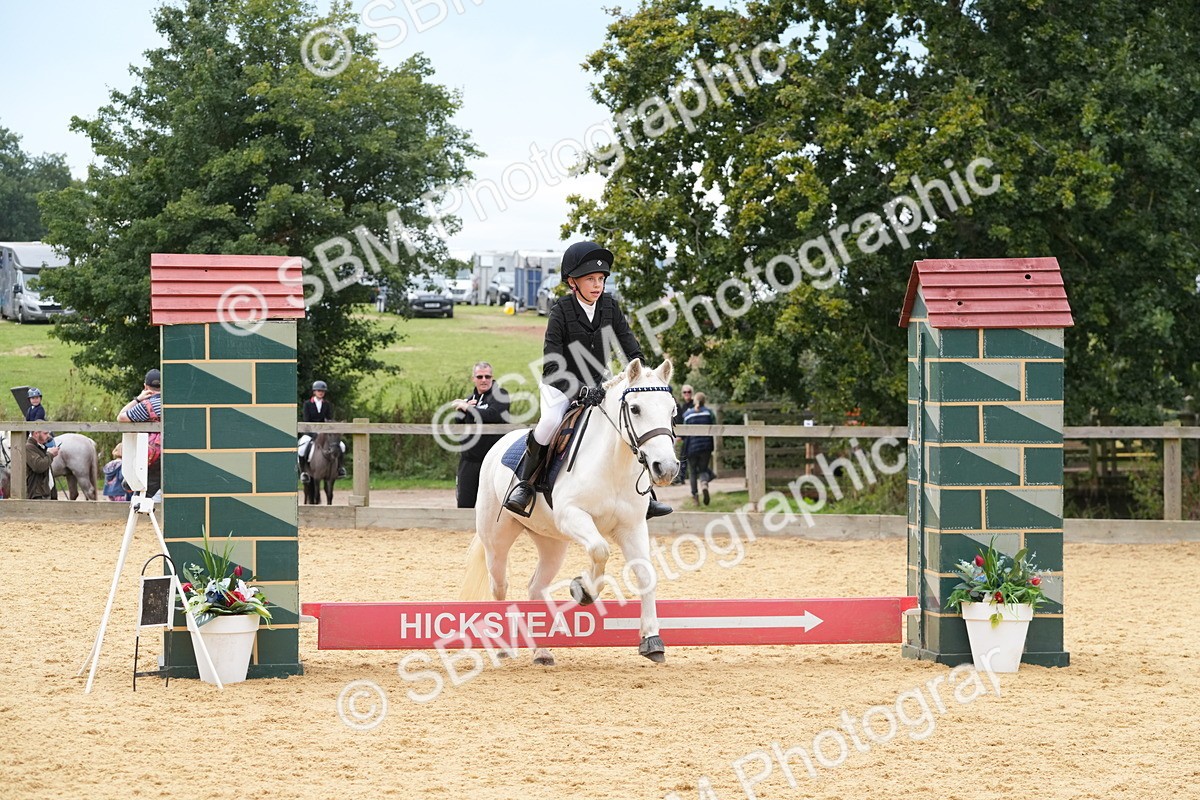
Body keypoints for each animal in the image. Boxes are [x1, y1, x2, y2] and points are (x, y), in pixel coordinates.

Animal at [462, 357, 680, 666]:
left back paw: (541, 651)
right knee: (499, 584)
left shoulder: (632, 527)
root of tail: (499, 445)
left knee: (535, 587)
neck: (613, 464)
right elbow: (600, 550)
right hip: (497, 540)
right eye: (636, 409)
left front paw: (652, 640)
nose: (667, 468)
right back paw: (502, 647)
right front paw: (583, 590)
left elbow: (646, 575)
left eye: (672, 410)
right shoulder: (572, 516)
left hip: (552, 543)